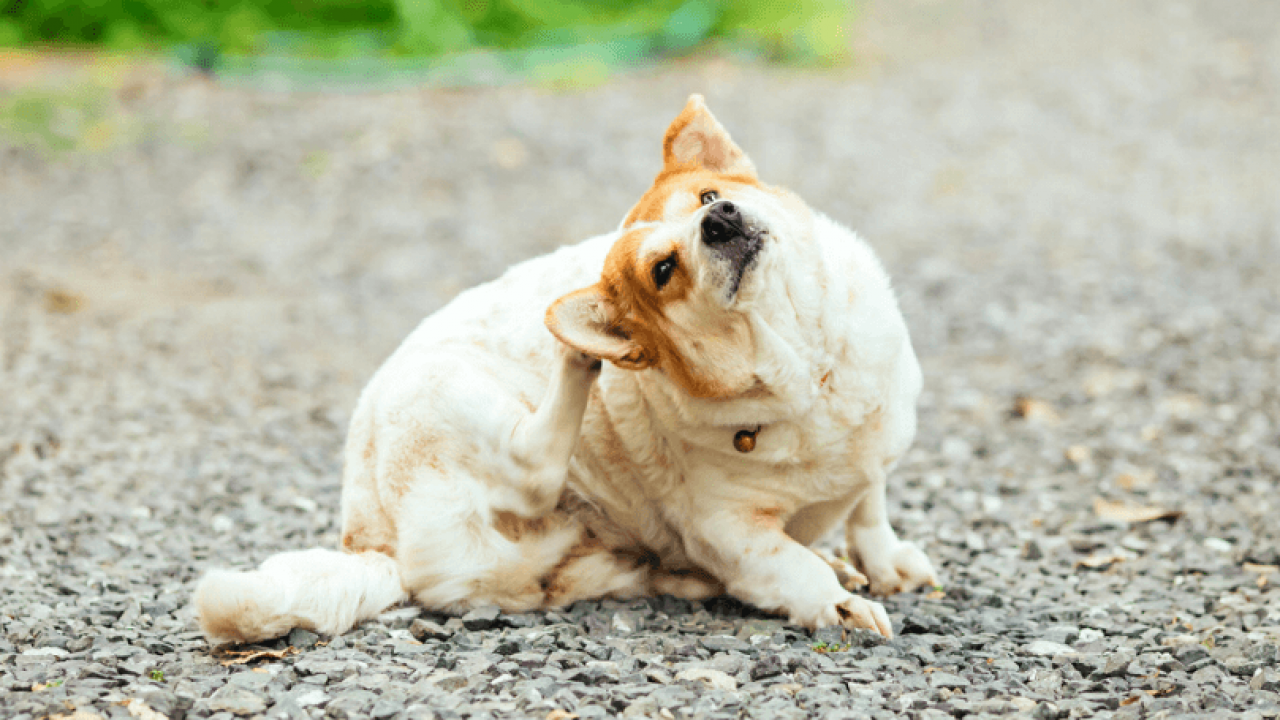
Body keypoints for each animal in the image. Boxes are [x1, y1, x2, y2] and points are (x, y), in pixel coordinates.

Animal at [199, 96, 942, 645]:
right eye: (663, 271)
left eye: (708, 195)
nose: (721, 219)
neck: (806, 372)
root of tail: (369, 542)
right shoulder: (732, 532)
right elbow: (790, 567)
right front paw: (836, 602)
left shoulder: (872, 459)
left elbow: (869, 507)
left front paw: (881, 561)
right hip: (449, 392)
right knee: (533, 466)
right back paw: (575, 358)